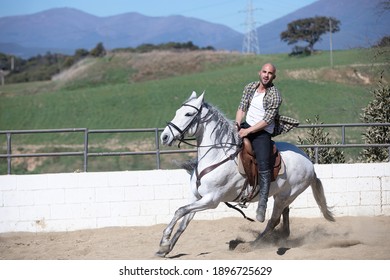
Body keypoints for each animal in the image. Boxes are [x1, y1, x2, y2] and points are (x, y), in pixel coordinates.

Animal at [157, 92, 334, 258]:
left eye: (188, 114)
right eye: (177, 111)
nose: (164, 136)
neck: (217, 156)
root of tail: (309, 164)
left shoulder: (211, 200)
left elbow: (179, 211)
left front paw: (164, 241)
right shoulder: (197, 197)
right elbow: (184, 220)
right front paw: (166, 248)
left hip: (286, 196)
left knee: (273, 220)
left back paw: (253, 244)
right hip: (282, 195)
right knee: (284, 214)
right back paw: (281, 237)